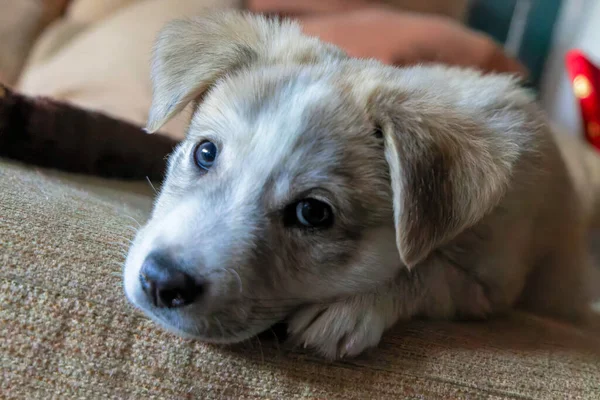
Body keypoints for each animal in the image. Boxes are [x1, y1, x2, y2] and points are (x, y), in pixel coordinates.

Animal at [124, 10, 596, 360]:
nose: (160, 282)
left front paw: (349, 307)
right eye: (205, 153)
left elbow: (427, 272)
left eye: (312, 213)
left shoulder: (489, 288)